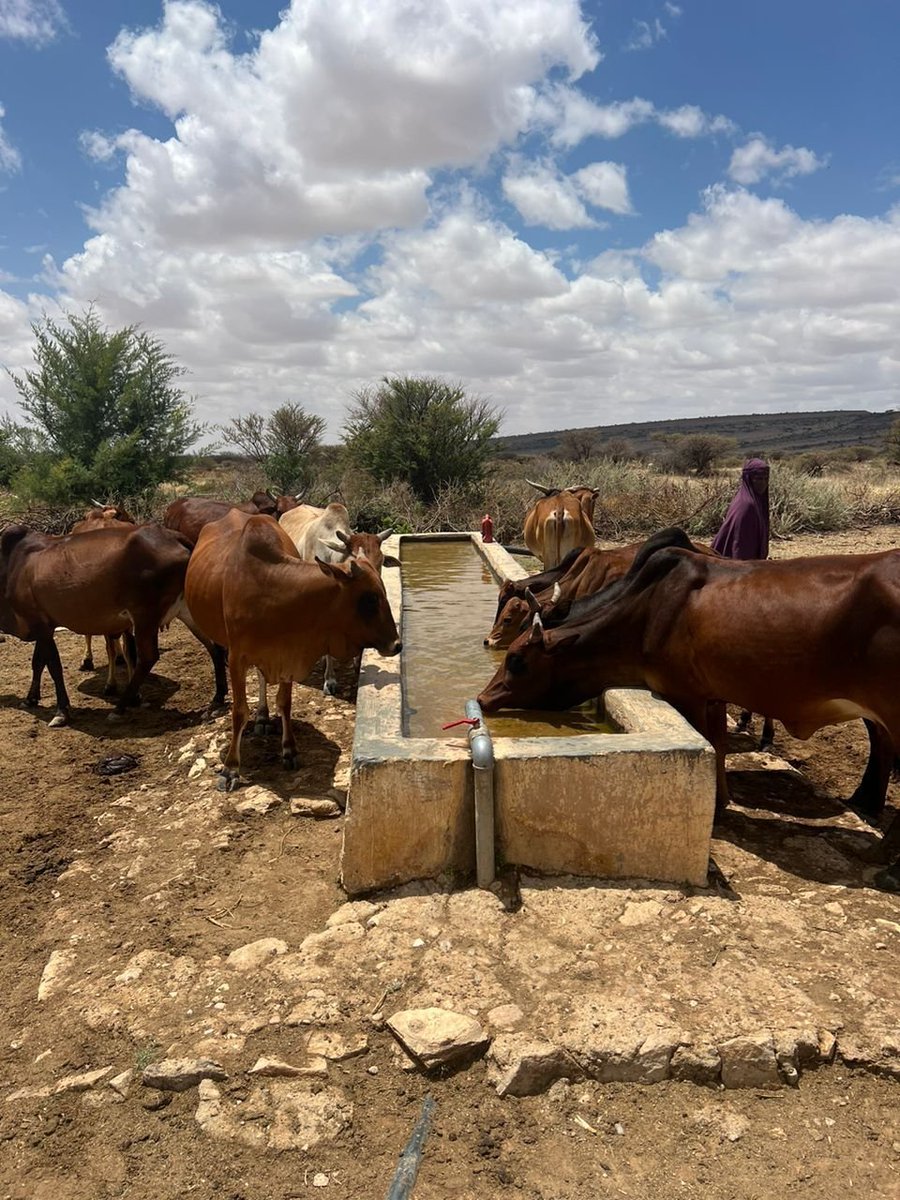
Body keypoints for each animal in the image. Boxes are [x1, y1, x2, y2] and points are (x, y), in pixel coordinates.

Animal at [0, 523, 225, 720]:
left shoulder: (40, 625)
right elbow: (38, 662)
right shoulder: (42, 625)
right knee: (215, 647)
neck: (11, 566)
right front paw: (30, 699)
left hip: (145, 616)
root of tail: (174, 537)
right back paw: (217, 701)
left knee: (147, 657)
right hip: (186, 610)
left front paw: (61, 711)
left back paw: (120, 707)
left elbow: (54, 667)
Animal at [184, 506, 400, 787]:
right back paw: (261, 717)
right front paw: (230, 768)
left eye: (382, 565)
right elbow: (239, 711)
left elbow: (285, 703)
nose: (397, 644)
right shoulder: (237, 658)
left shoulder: (289, 653)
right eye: (370, 598)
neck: (272, 590)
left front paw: (289, 750)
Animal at [480, 547, 900, 820]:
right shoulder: (712, 697)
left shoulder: (687, 696)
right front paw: (722, 802)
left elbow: (712, 746)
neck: (645, 612)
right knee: (880, 745)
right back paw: (864, 801)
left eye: (517, 661)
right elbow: (718, 747)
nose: (483, 698)